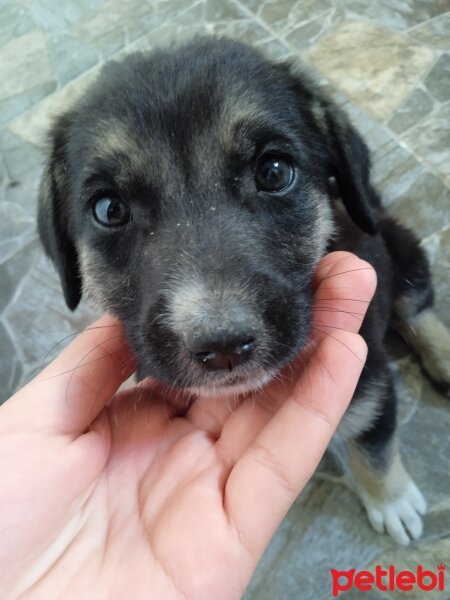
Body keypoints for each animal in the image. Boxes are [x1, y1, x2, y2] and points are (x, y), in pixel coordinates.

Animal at [37, 36, 450, 544]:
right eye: (109, 209)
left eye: (273, 172)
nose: (223, 347)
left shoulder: (368, 376)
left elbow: (375, 446)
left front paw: (391, 500)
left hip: (400, 251)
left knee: (418, 307)